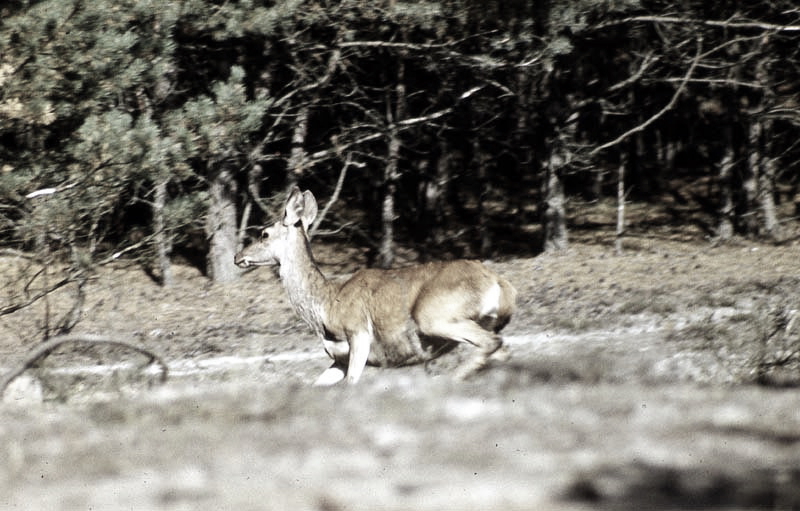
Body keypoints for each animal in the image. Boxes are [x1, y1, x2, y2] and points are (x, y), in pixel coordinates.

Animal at [234, 188, 516, 384]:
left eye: (264, 234)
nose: (238, 256)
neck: (326, 307)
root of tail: (500, 284)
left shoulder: (358, 332)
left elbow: (351, 383)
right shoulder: (338, 358)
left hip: (434, 315)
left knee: (491, 344)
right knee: (501, 351)